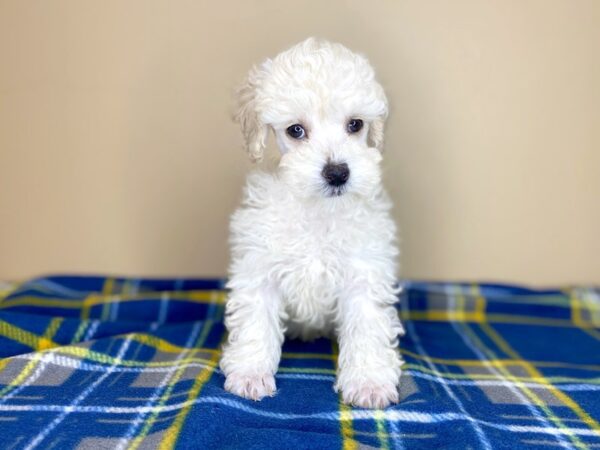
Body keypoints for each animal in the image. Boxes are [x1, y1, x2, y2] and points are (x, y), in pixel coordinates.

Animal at [218, 37, 406, 412]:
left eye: (355, 125)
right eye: (295, 130)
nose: (337, 172)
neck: (319, 209)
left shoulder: (364, 270)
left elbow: (367, 325)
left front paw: (369, 380)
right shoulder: (259, 267)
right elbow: (256, 321)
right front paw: (250, 372)